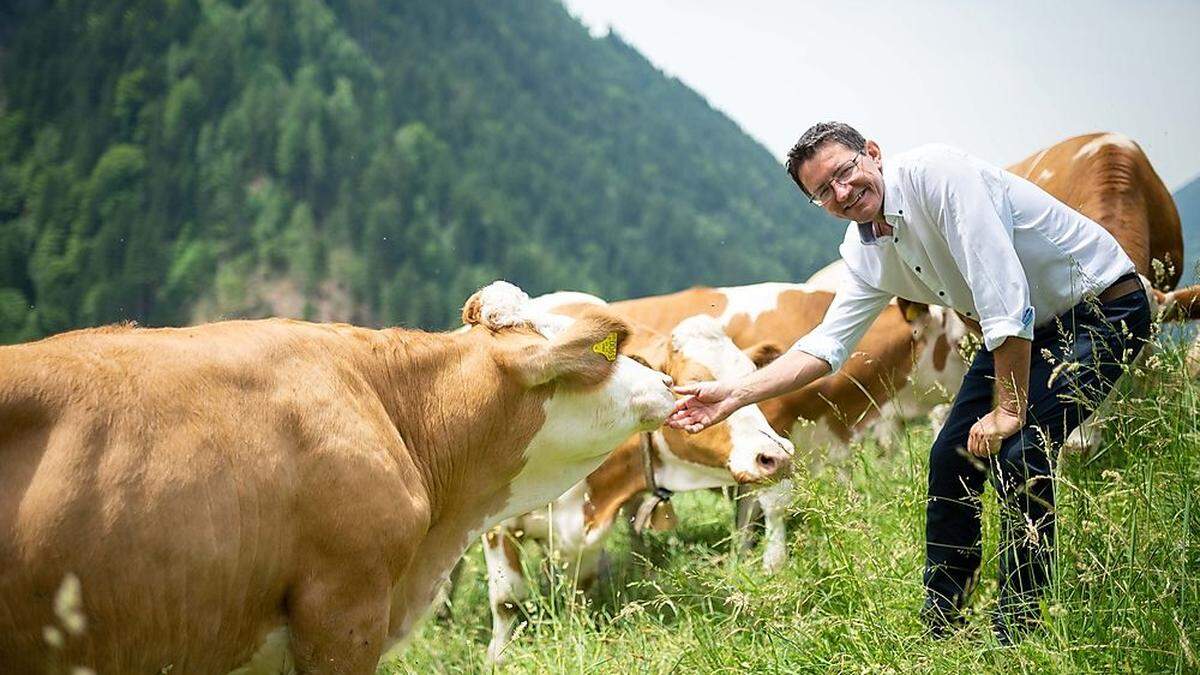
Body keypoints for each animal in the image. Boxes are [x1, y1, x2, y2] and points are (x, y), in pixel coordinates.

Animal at [472, 297, 792, 658]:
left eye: (750, 377)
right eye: (695, 381)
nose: (777, 455)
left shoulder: (588, 535)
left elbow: (578, 597)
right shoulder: (496, 524)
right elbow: (506, 599)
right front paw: (497, 658)